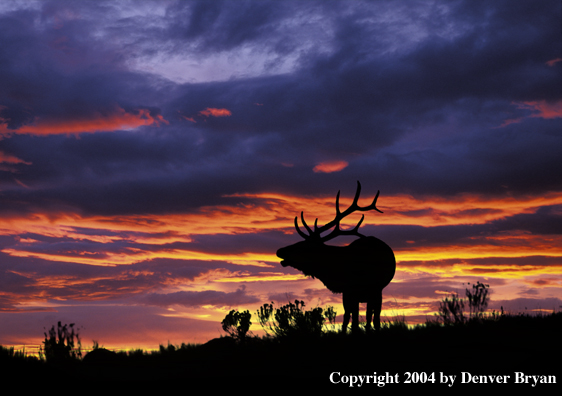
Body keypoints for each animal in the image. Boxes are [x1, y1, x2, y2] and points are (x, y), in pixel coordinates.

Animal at [276, 181, 394, 332]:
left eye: (304, 246)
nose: (280, 251)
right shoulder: (347, 292)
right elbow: (348, 320)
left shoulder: (367, 290)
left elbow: (366, 321)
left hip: (376, 292)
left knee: (372, 317)